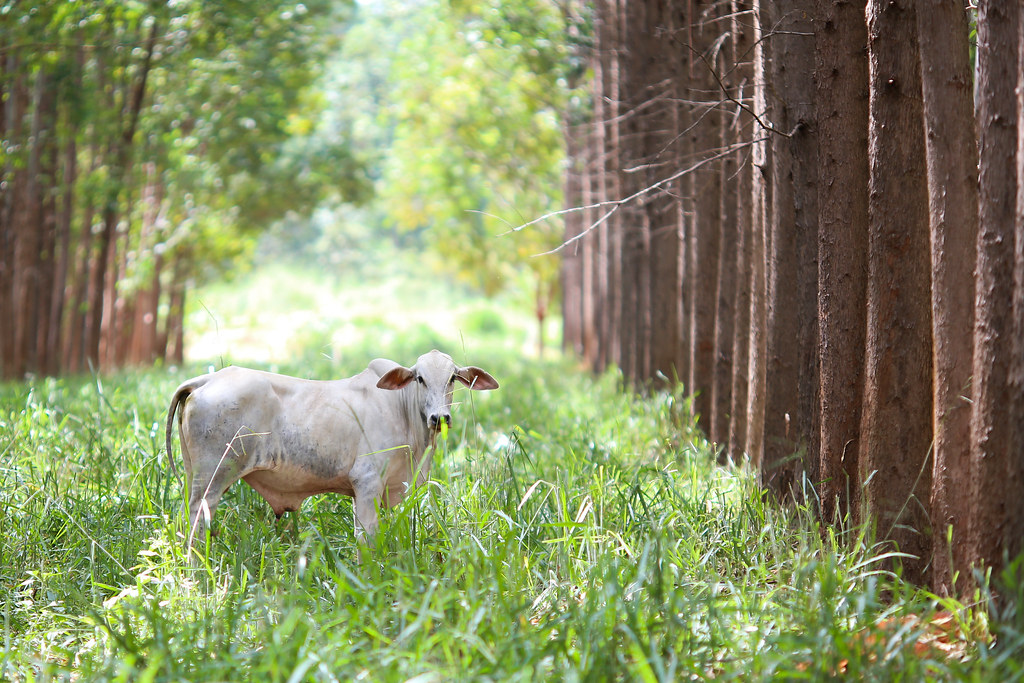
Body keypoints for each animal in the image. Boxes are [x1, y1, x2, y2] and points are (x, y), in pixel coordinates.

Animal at [165, 350, 497, 548]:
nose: (439, 418)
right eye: (420, 378)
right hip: (213, 476)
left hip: (194, 472)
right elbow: (367, 536)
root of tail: (208, 379)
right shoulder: (366, 483)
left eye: (452, 378)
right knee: (197, 518)